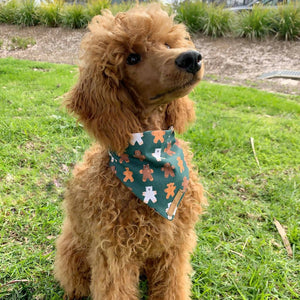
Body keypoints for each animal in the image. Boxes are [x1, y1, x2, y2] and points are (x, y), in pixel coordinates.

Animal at [54, 4, 206, 300]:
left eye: (167, 44)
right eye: (132, 58)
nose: (191, 58)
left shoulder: (175, 247)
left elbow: (172, 287)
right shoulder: (115, 254)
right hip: (73, 250)